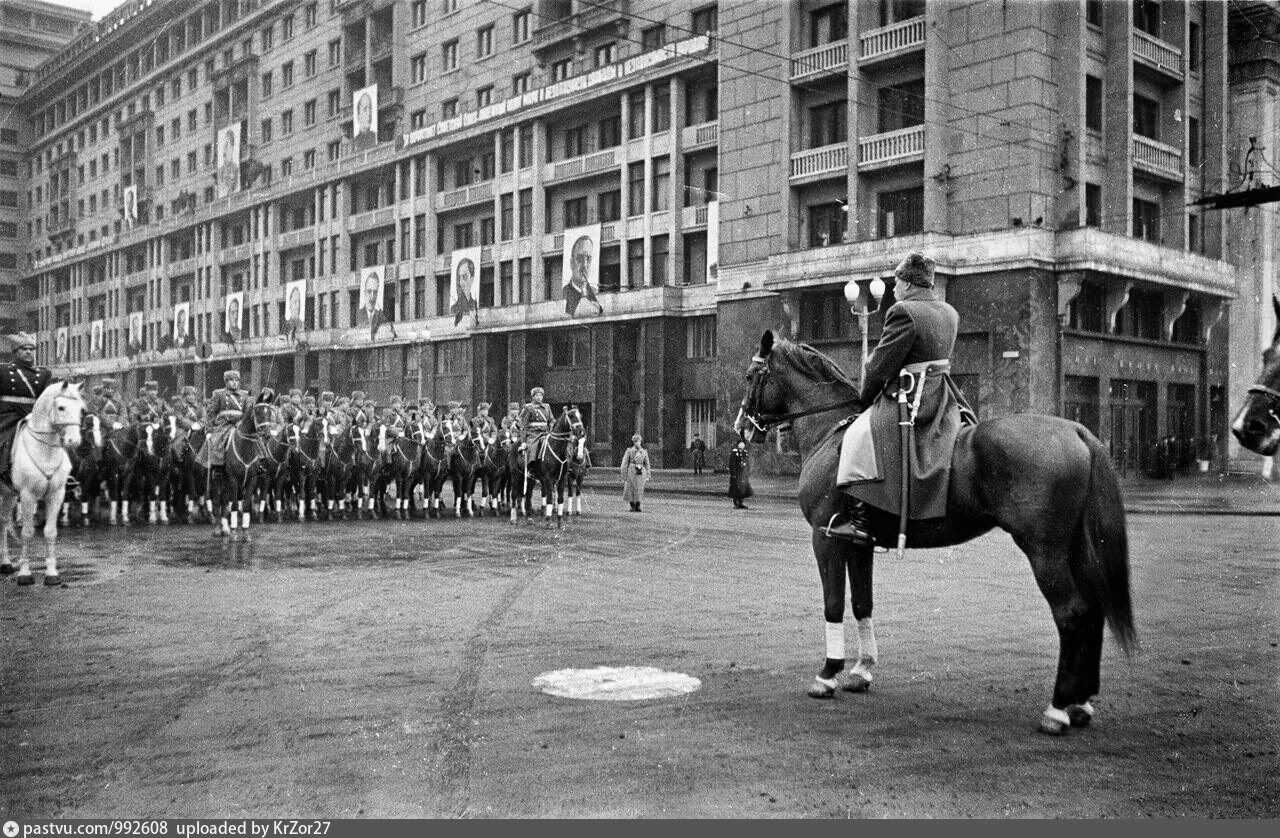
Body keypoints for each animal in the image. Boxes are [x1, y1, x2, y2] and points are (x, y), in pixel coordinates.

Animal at [737, 330, 1136, 736]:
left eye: (752, 376)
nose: (743, 427)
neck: (831, 432)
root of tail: (1077, 429)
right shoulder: (858, 546)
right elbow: (862, 603)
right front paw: (862, 671)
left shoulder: (826, 538)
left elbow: (832, 604)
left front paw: (828, 673)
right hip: (1075, 549)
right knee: (1093, 610)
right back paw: (1081, 703)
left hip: (1045, 552)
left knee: (1072, 614)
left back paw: (1057, 709)